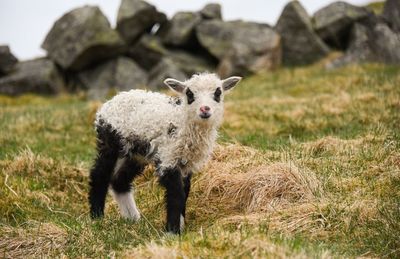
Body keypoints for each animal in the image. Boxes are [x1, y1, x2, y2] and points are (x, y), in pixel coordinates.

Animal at [88, 72, 241, 235]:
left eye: (218, 93)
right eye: (189, 93)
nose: (204, 109)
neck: (182, 122)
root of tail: (110, 102)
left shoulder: (186, 164)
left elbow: (185, 192)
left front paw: (180, 225)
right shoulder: (169, 157)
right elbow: (176, 194)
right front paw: (172, 231)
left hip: (135, 154)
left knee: (119, 181)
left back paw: (133, 218)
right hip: (110, 143)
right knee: (99, 175)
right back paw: (97, 217)